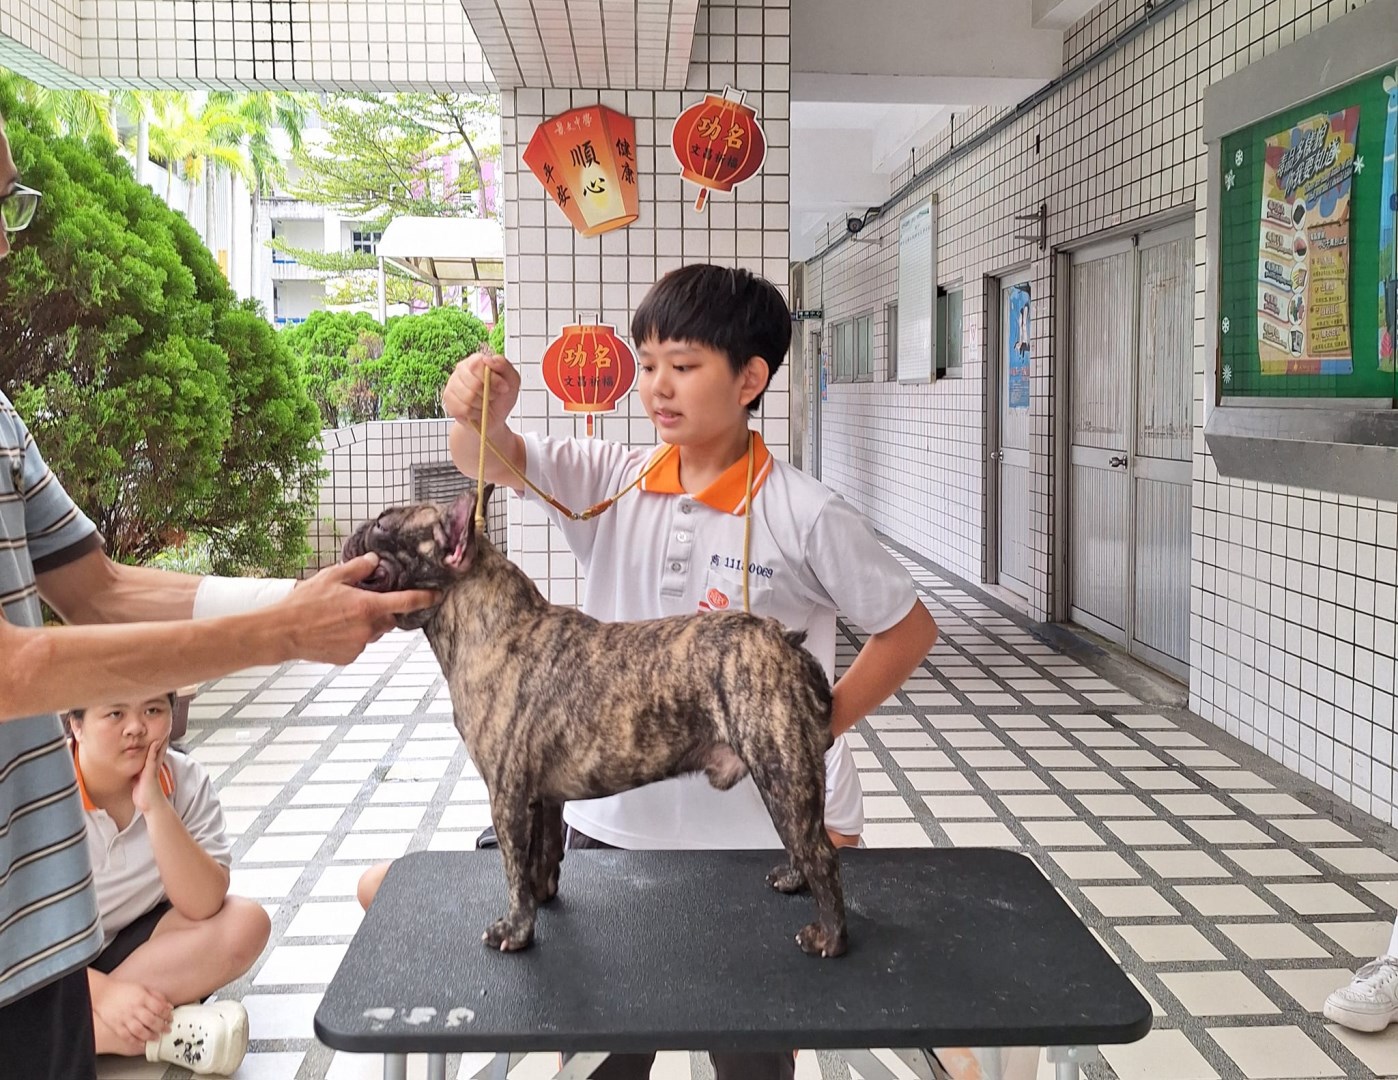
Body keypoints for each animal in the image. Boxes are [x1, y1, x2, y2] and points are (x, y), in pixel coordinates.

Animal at [343, 489, 848, 958]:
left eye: (384, 524)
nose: (354, 534)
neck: (494, 625)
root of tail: (785, 641)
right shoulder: (543, 797)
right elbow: (545, 851)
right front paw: (543, 895)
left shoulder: (507, 797)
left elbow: (513, 867)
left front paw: (515, 929)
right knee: (803, 841)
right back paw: (793, 880)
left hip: (780, 770)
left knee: (820, 851)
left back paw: (829, 936)